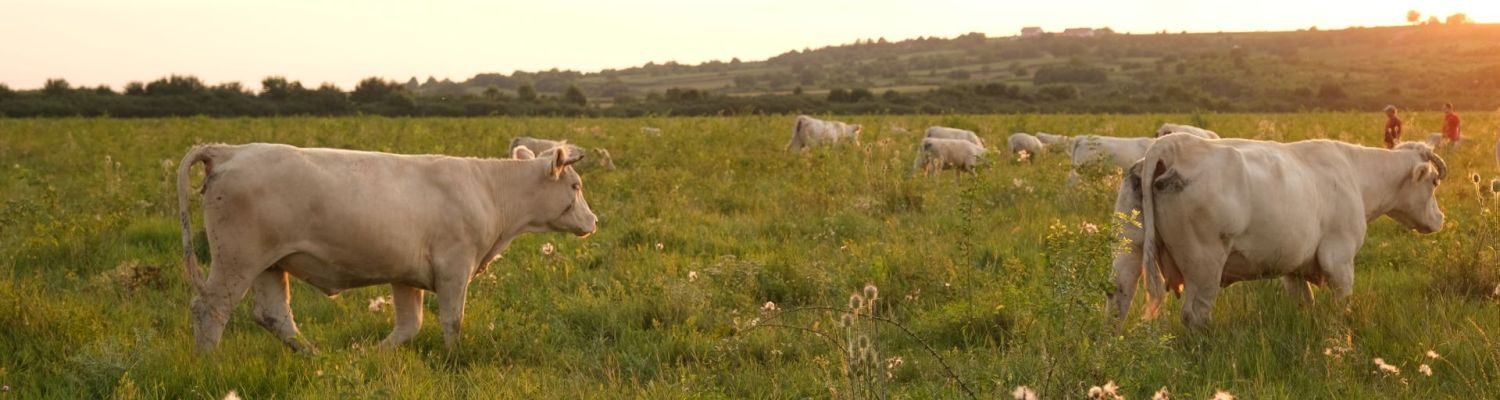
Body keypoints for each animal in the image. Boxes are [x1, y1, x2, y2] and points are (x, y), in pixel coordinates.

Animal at [177, 144, 597, 355]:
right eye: (575, 186)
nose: (593, 221)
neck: (489, 189)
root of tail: (230, 150)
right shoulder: (454, 266)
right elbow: (453, 321)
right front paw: (453, 359)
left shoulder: (406, 275)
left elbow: (409, 326)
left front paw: (369, 354)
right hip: (237, 261)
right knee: (210, 310)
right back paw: (208, 364)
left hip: (270, 264)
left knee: (274, 316)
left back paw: (318, 357)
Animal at [1134, 136, 1440, 331]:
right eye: (1435, 182)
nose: (1441, 218)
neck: (1354, 172)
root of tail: (1175, 143)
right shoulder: (1338, 258)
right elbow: (1343, 305)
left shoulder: (1294, 267)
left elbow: (1304, 303)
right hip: (1204, 266)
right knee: (1194, 315)